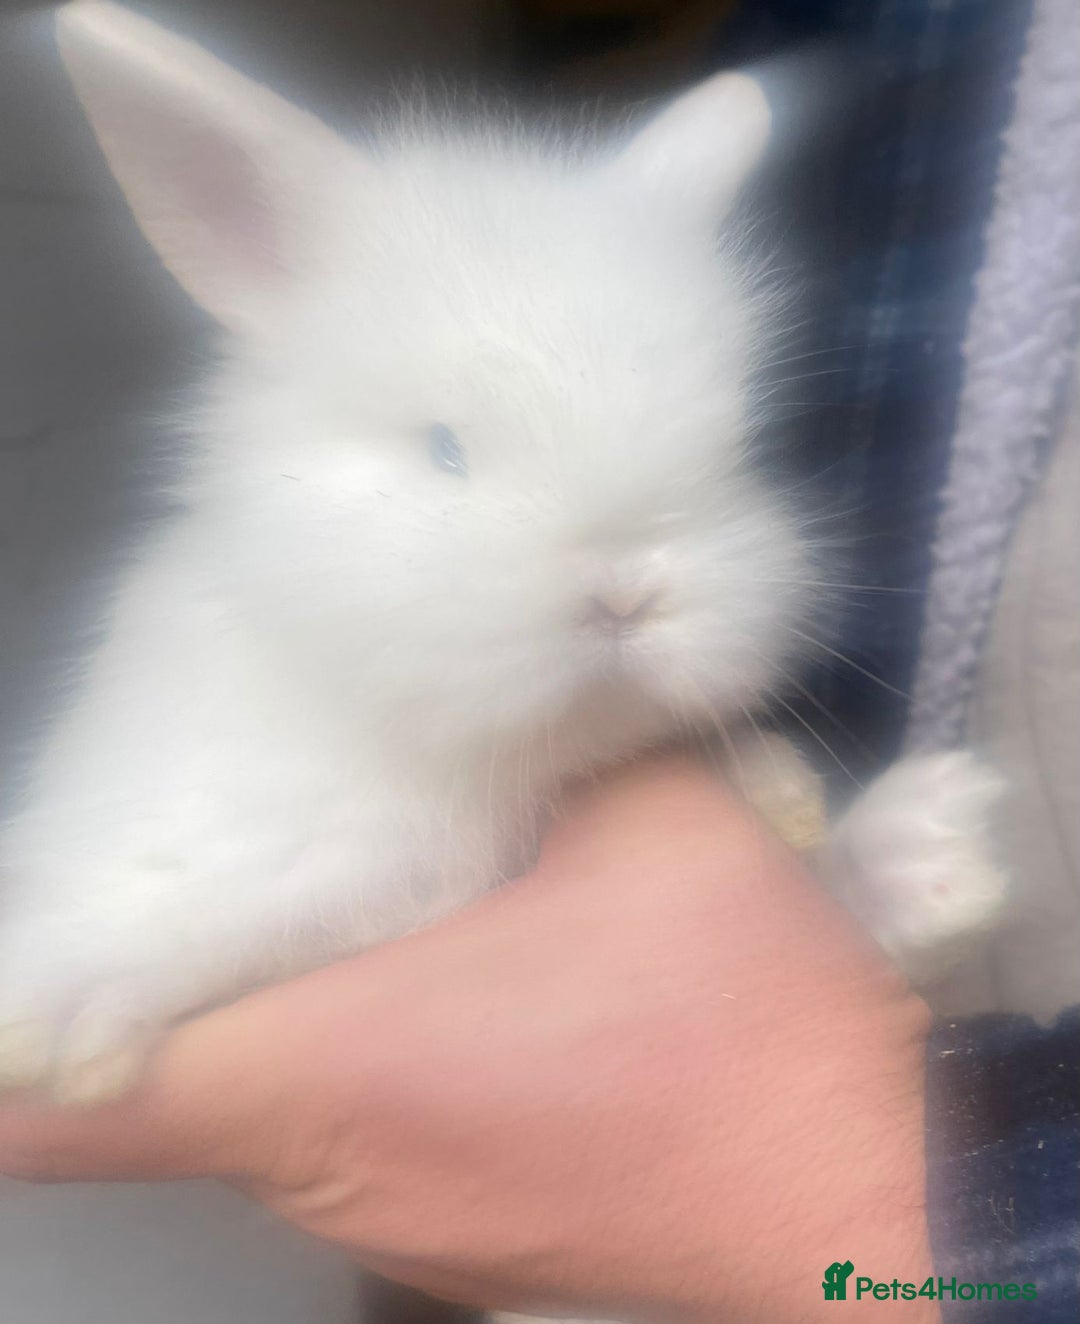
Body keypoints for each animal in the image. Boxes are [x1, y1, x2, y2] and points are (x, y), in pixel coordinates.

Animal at [0, 1, 1005, 1112]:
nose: (625, 595)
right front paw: (69, 1016)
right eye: (444, 447)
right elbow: (213, 931)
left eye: (736, 450)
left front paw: (928, 855)